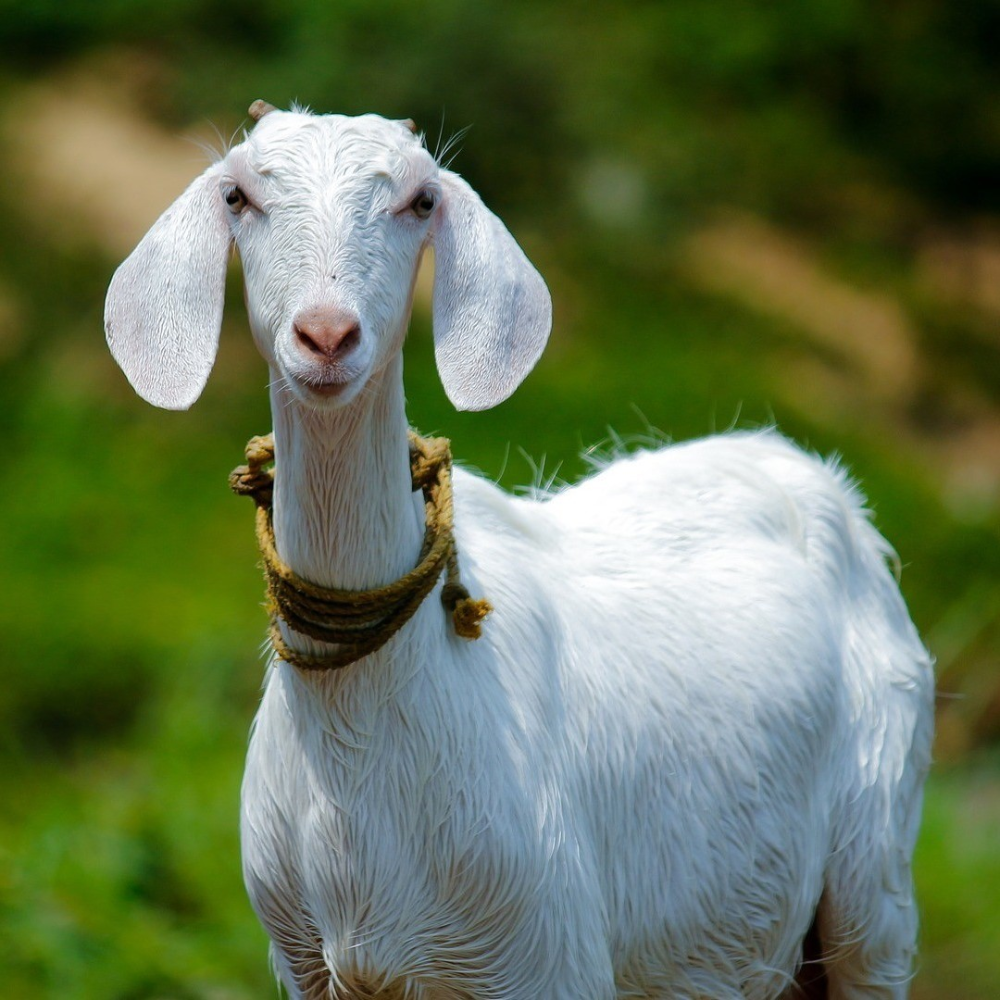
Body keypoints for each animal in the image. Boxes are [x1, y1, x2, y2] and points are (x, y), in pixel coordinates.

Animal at [105, 102, 934, 999]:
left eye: (420, 200)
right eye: (239, 194)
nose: (326, 336)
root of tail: (806, 470)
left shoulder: (549, 953)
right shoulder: (305, 964)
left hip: (877, 872)